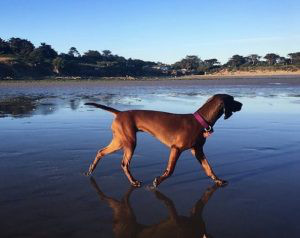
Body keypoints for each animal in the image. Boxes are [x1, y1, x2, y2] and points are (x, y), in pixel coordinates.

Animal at [84, 94, 241, 187]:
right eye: (233, 100)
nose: (242, 104)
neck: (200, 121)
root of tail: (120, 113)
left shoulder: (197, 151)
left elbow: (209, 168)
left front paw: (218, 180)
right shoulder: (176, 149)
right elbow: (170, 170)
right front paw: (157, 181)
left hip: (120, 141)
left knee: (101, 152)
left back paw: (91, 170)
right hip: (129, 142)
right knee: (124, 163)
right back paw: (133, 181)